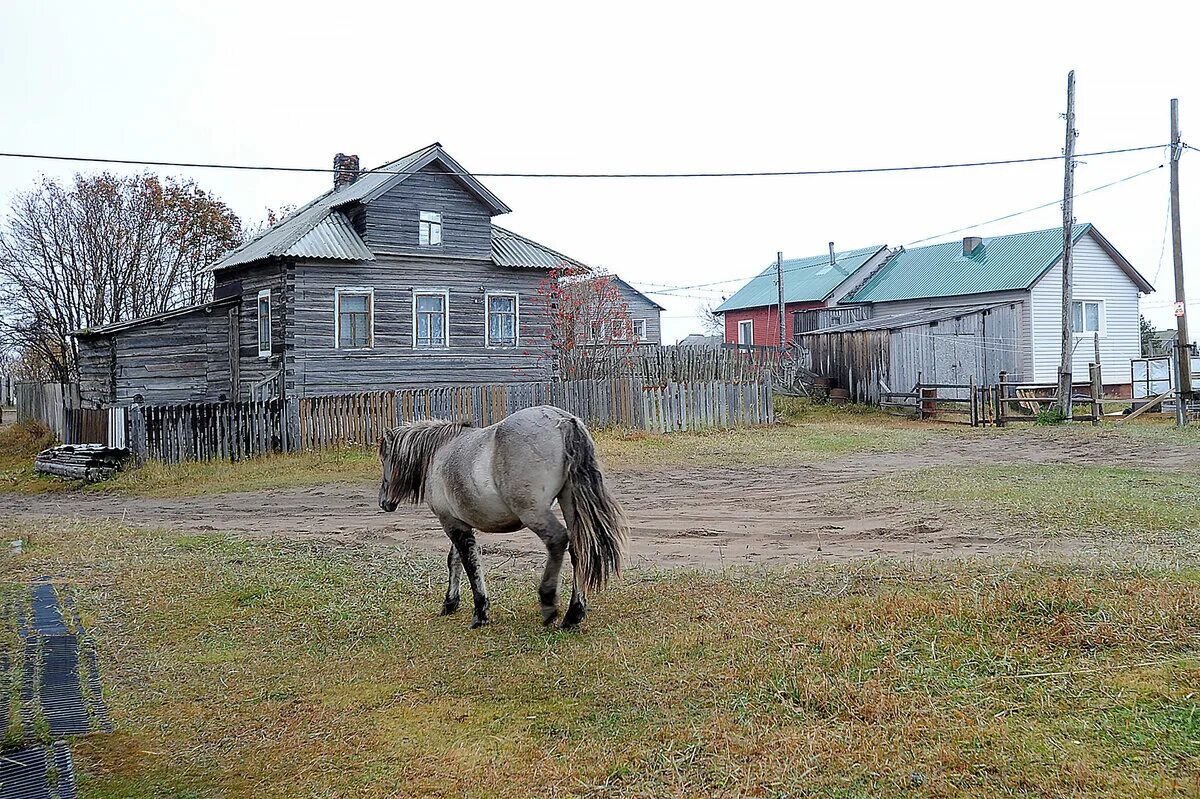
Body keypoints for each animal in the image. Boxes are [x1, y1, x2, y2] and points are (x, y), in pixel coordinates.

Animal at [381, 405, 628, 628]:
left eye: (385, 459)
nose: (384, 502)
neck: (441, 452)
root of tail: (563, 420)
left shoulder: (451, 523)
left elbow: (470, 563)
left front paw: (480, 612)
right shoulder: (460, 522)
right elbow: (456, 560)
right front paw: (450, 603)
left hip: (533, 512)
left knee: (558, 540)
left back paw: (549, 603)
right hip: (570, 503)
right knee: (579, 550)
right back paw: (573, 615)